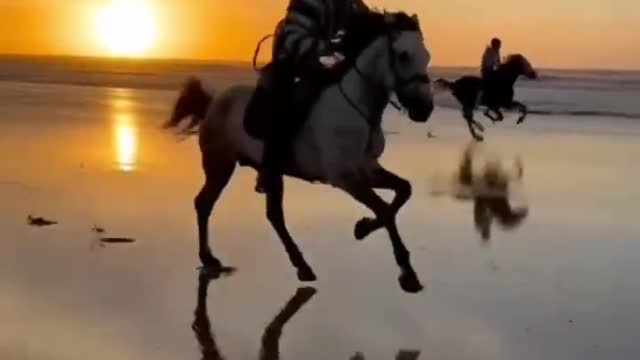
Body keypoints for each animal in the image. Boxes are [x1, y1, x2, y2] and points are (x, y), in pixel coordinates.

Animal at [165, 10, 436, 292]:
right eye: (403, 55)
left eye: (427, 56)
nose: (424, 110)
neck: (357, 108)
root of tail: (213, 101)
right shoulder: (345, 178)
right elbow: (384, 209)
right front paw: (406, 272)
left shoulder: (368, 169)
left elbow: (403, 191)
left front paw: (363, 228)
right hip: (220, 164)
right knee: (205, 204)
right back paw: (209, 258)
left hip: (269, 171)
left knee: (273, 215)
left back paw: (301, 266)